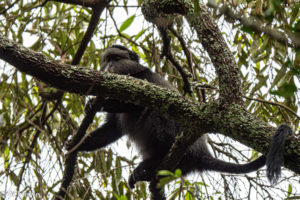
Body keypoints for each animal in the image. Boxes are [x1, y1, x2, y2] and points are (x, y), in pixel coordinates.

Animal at [55, 44, 290, 199]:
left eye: (116, 59)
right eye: (106, 60)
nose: (108, 67)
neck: (131, 73)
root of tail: (201, 154)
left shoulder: (143, 80)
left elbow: (138, 106)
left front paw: (96, 103)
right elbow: (112, 130)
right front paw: (77, 144)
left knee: (155, 113)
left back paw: (153, 161)